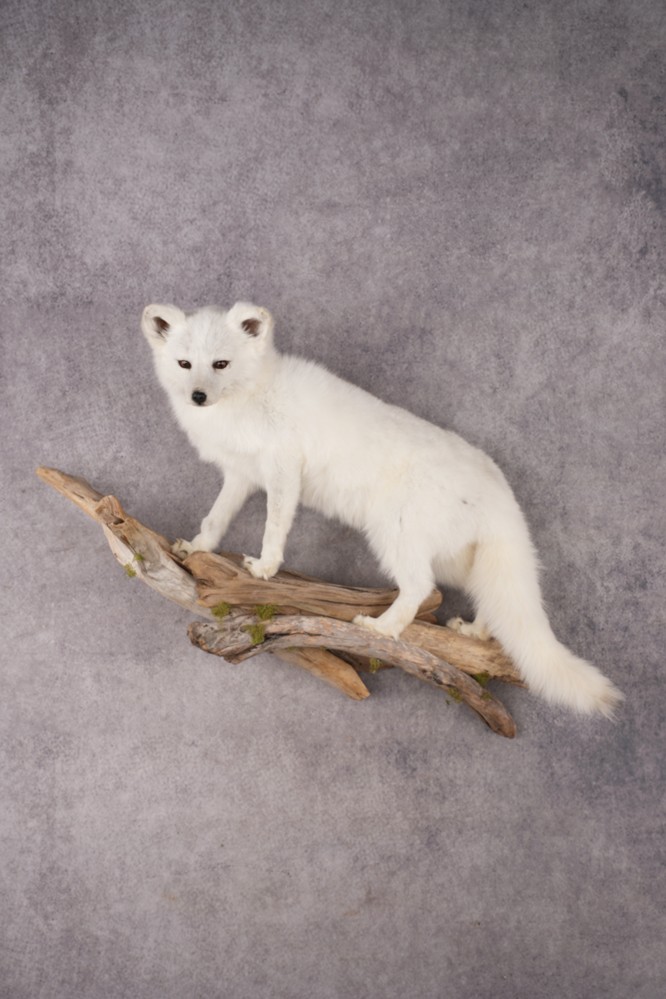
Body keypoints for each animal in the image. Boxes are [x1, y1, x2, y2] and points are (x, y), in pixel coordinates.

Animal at [141, 300, 622, 717]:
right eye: (185, 364)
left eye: (221, 364)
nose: (198, 396)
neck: (250, 397)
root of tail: (500, 492)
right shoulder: (240, 475)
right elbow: (216, 516)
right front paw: (197, 548)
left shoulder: (282, 470)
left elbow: (275, 525)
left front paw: (264, 568)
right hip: (462, 561)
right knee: (494, 605)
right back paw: (473, 632)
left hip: (394, 534)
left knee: (420, 588)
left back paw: (381, 629)